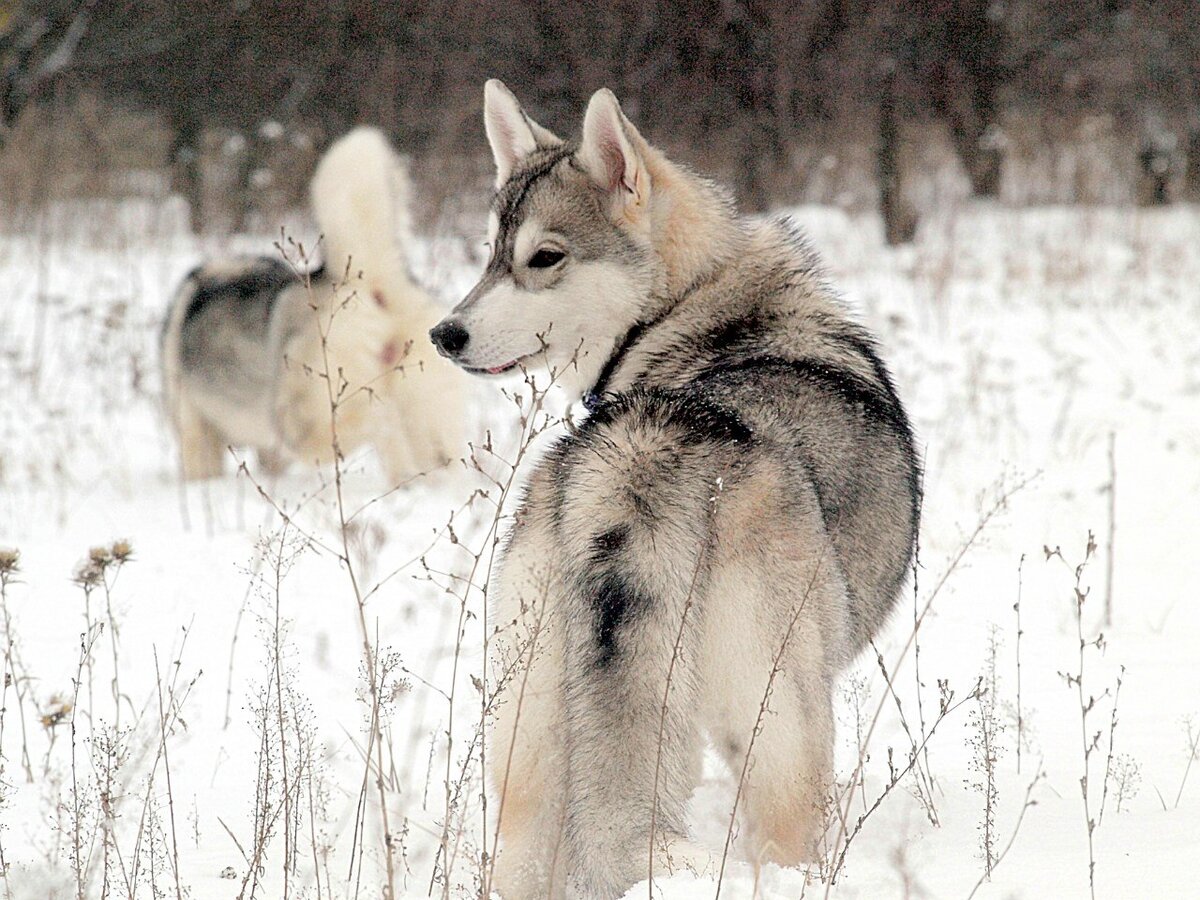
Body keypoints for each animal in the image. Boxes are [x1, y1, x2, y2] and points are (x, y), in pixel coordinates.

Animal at [432, 81, 916, 897]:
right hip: (784, 731)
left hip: (525, 757)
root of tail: (635, 463)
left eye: (542, 257)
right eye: (493, 255)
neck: (690, 313)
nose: (444, 335)